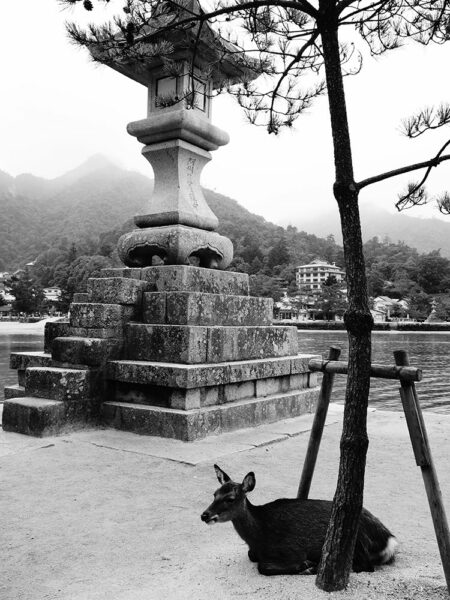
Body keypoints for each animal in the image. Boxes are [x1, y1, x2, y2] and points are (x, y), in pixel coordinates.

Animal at [200, 464, 398, 576]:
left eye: (230, 498)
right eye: (214, 494)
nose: (205, 515)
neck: (259, 537)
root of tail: (389, 539)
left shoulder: (292, 549)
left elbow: (263, 567)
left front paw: (306, 565)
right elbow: (252, 556)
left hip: (353, 541)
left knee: (365, 566)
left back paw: (316, 567)